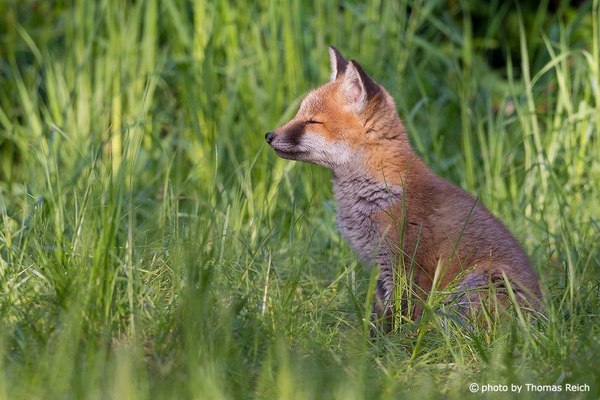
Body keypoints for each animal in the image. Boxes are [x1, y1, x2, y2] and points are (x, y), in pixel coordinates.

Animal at [264, 46, 540, 332]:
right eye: (299, 114)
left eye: (311, 122)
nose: (269, 136)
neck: (375, 193)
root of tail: (542, 320)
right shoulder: (379, 268)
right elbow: (380, 316)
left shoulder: (405, 267)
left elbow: (400, 317)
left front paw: (396, 341)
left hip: (478, 284)